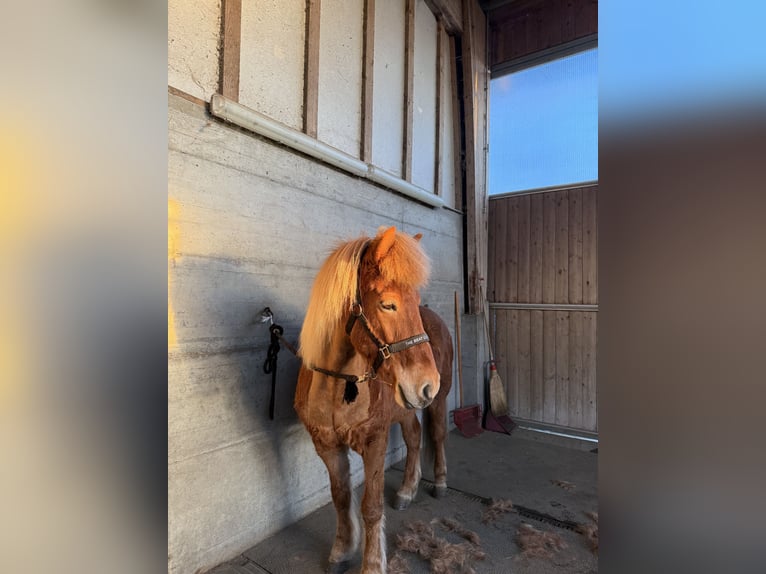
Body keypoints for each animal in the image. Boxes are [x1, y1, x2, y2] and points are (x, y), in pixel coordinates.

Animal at [294, 226, 453, 573]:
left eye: (413, 301)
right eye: (388, 304)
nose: (427, 383)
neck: (340, 384)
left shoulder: (375, 441)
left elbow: (371, 505)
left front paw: (372, 563)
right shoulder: (327, 446)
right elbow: (340, 497)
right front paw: (342, 551)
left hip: (437, 401)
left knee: (436, 434)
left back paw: (439, 483)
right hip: (407, 407)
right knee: (414, 436)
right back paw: (407, 490)